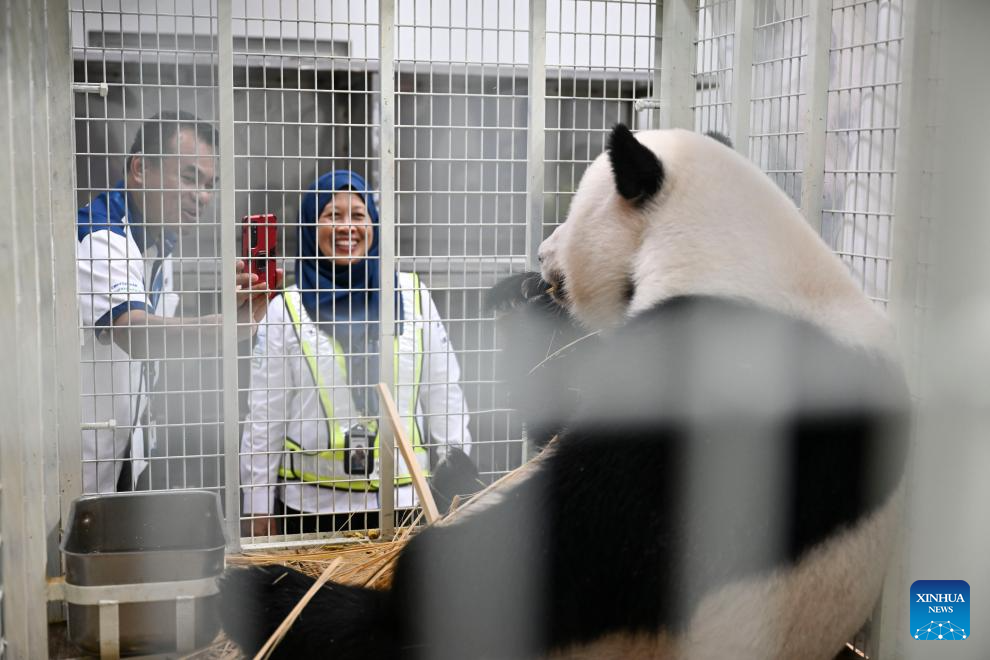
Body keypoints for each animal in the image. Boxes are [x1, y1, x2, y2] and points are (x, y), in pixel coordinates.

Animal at [221, 125, 912, 660]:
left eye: (572, 213)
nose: (543, 254)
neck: (734, 251)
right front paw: (519, 303)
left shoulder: (718, 381)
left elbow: (580, 539)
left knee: (374, 630)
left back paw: (268, 598)